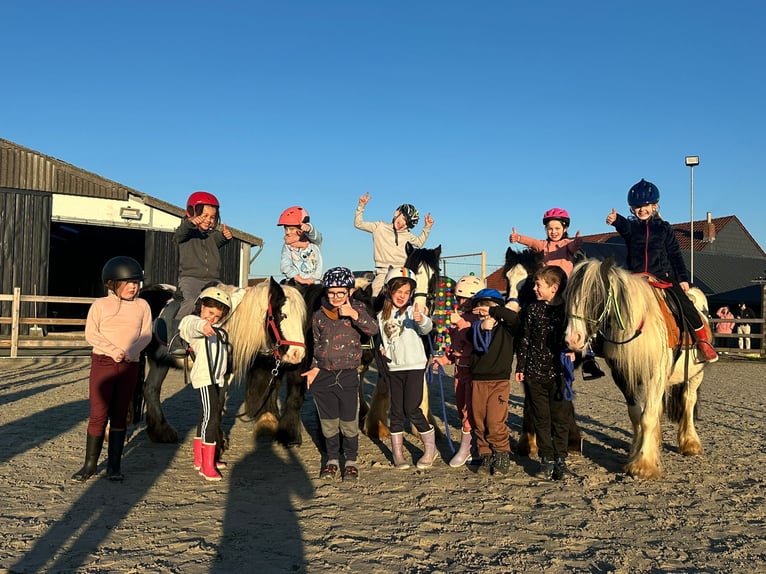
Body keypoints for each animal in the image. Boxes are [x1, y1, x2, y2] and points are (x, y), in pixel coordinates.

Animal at [136, 282, 308, 448]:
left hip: (160, 361)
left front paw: (219, 440)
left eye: (301, 319)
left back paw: (162, 432)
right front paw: (216, 442)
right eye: (282, 315)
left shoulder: (226, 373)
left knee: (151, 389)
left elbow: (219, 403)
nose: (297, 354)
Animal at [560, 258, 712, 480]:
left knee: (688, 401)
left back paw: (690, 443)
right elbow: (636, 415)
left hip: (696, 375)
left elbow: (647, 417)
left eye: (596, 294)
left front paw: (643, 465)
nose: (573, 339)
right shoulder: (622, 375)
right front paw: (637, 453)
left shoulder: (656, 374)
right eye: (568, 297)